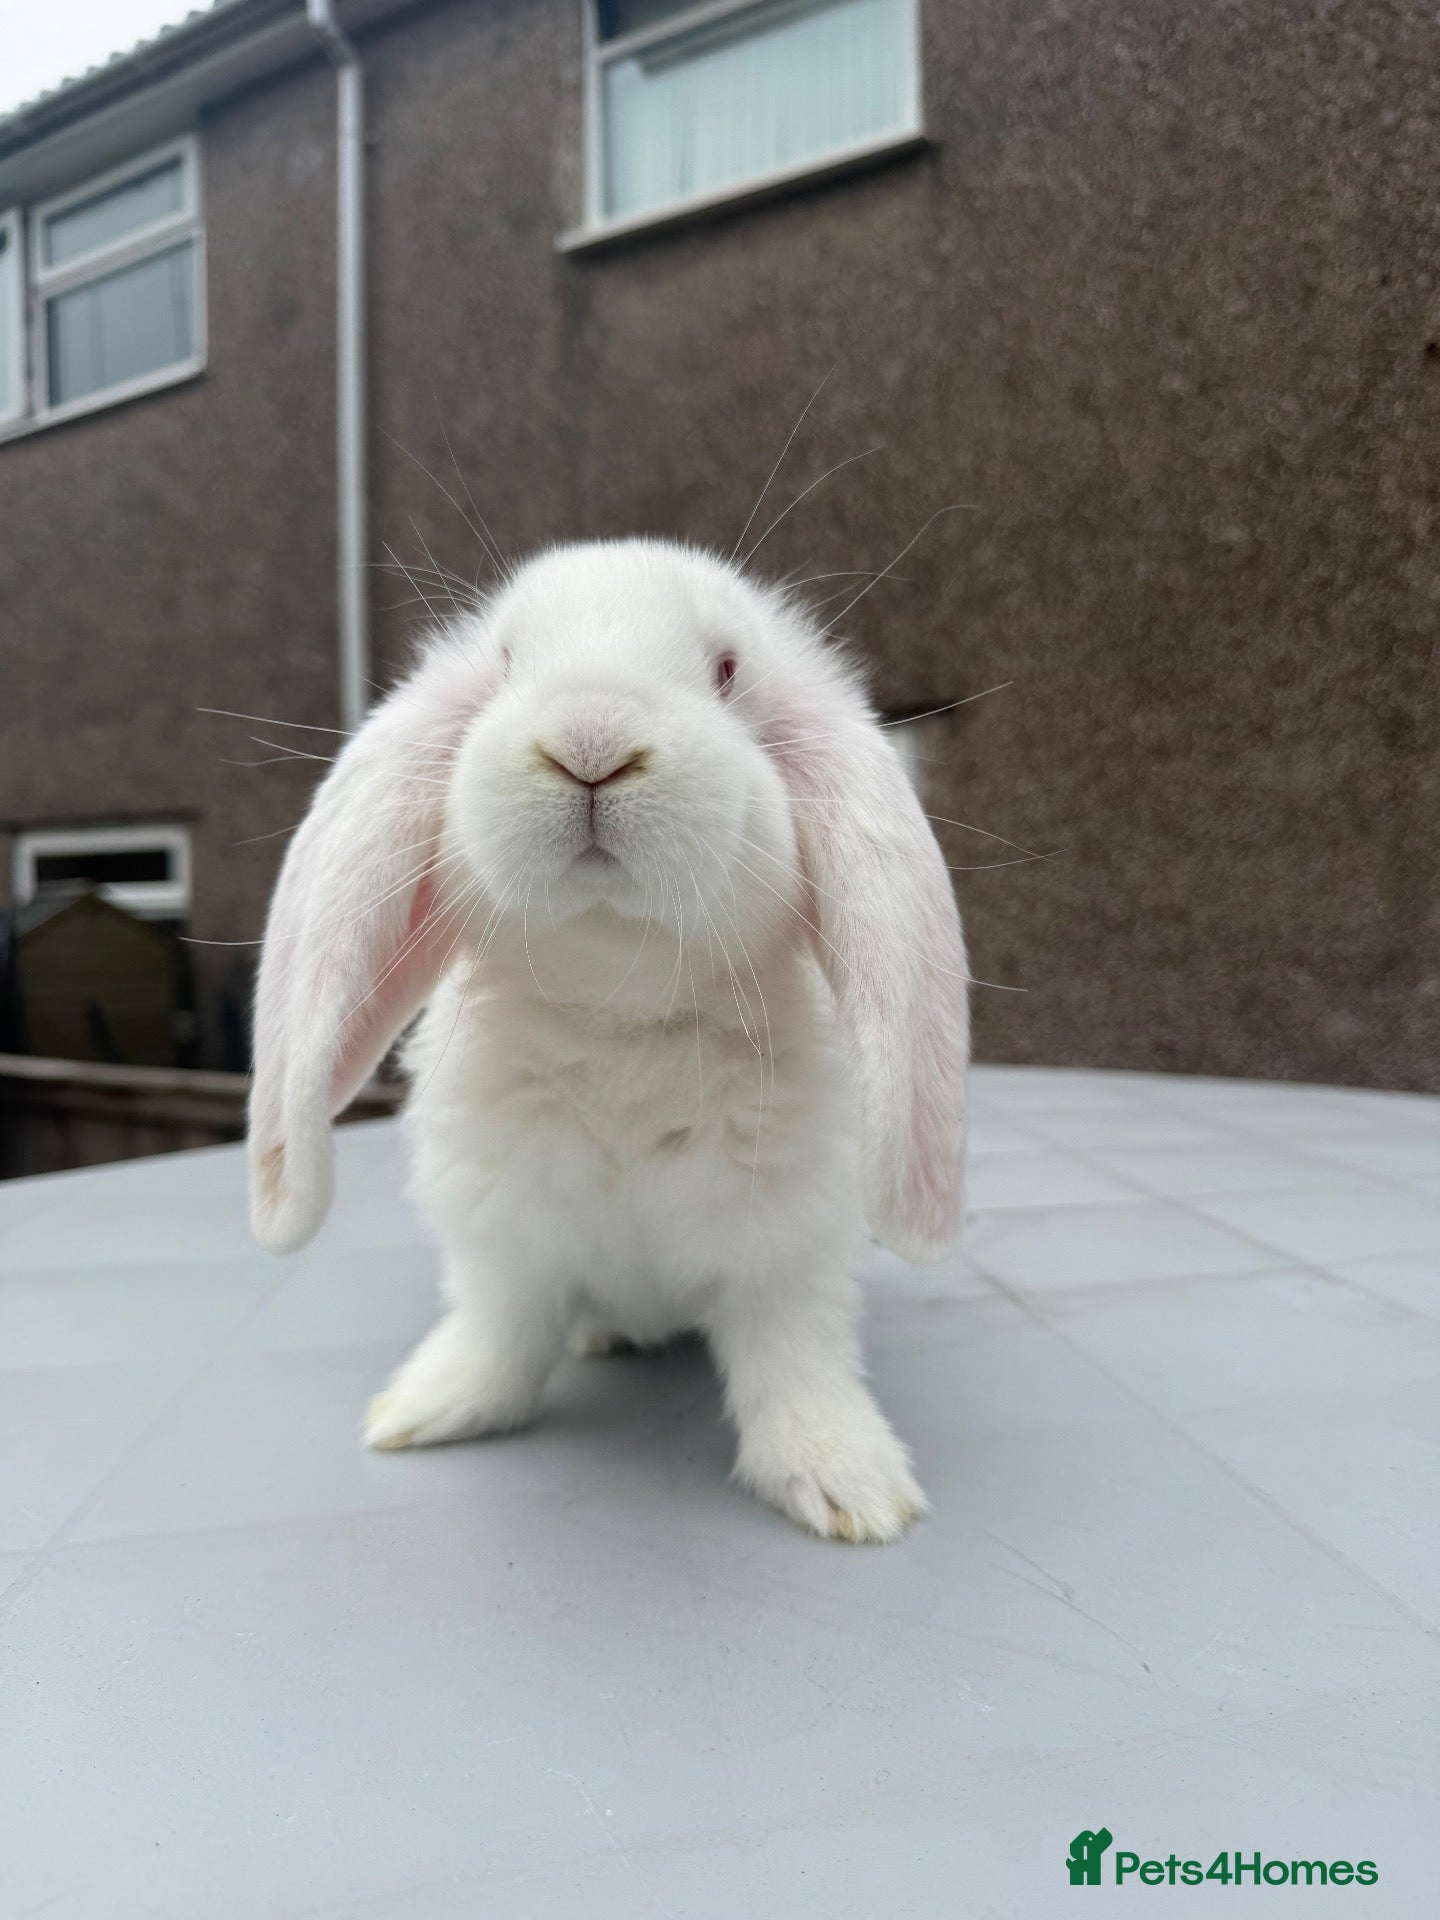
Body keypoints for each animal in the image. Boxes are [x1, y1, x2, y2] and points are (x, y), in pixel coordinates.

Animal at [248, 538, 969, 1542]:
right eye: (506, 662)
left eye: (727, 670)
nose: (590, 745)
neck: (617, 1007)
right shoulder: (503, 1244)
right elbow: (499, 1335)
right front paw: (426, 1409)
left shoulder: (784, 1258)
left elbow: (794, 1361)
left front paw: (847, 1486)